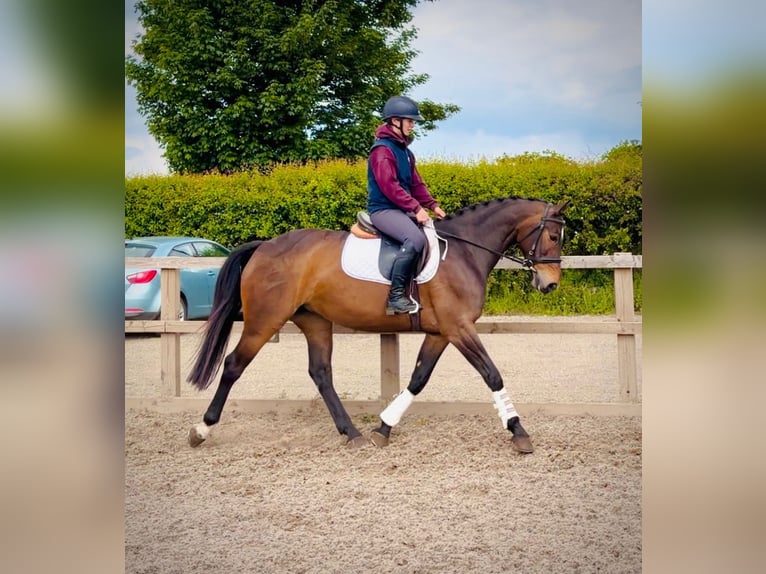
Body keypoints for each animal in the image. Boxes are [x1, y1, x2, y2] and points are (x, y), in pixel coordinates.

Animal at [187, 196, 568, 453]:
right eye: (552, 237)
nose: (550, 284)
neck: (464, 252)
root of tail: (264, 246)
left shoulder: (441, 332)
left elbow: (418, 379)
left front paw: (383, 427)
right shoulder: (459, 328)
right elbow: (492, 374)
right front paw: (518, 431)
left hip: (315, 322)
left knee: (321, 373)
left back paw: (352, 433)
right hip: (264, 322)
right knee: (233, 365)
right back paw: (201, 430)